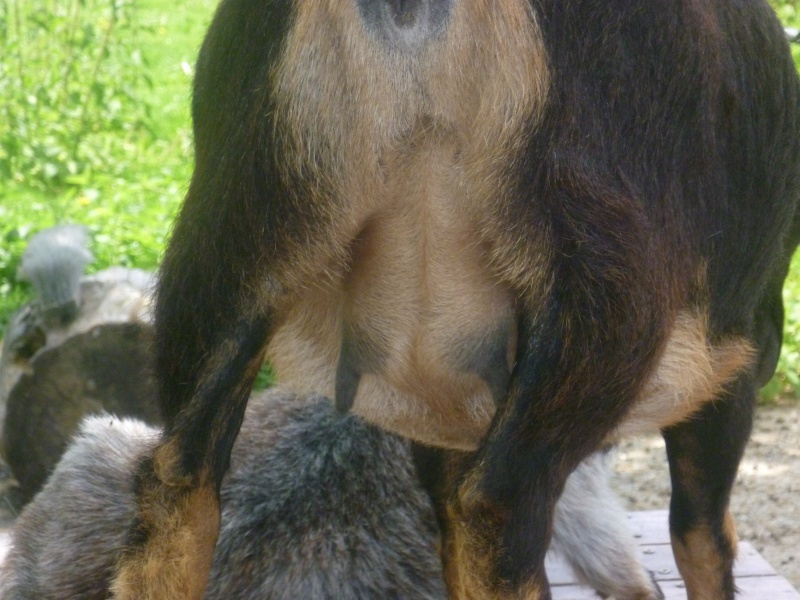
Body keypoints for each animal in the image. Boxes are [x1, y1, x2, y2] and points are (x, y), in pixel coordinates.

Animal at [111, 1, 800, 600]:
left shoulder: (448, 410)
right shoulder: (728, 375)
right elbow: (703, 538)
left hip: (232, 235)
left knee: (177, 481)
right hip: (605, 283)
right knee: (500, 507)